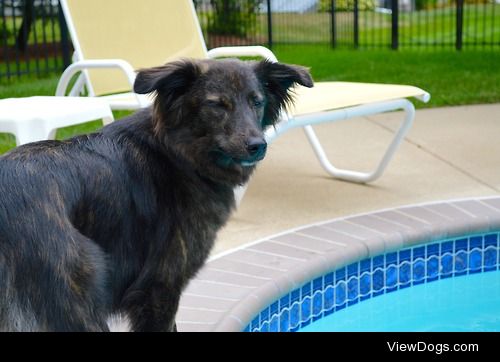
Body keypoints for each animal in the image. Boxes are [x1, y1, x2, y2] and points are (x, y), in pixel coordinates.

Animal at [0, 58, 312, 332]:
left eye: (256, 102)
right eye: (216, 105)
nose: (257, 146)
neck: (177, 152)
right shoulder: (159, 287)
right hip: (79, 305)